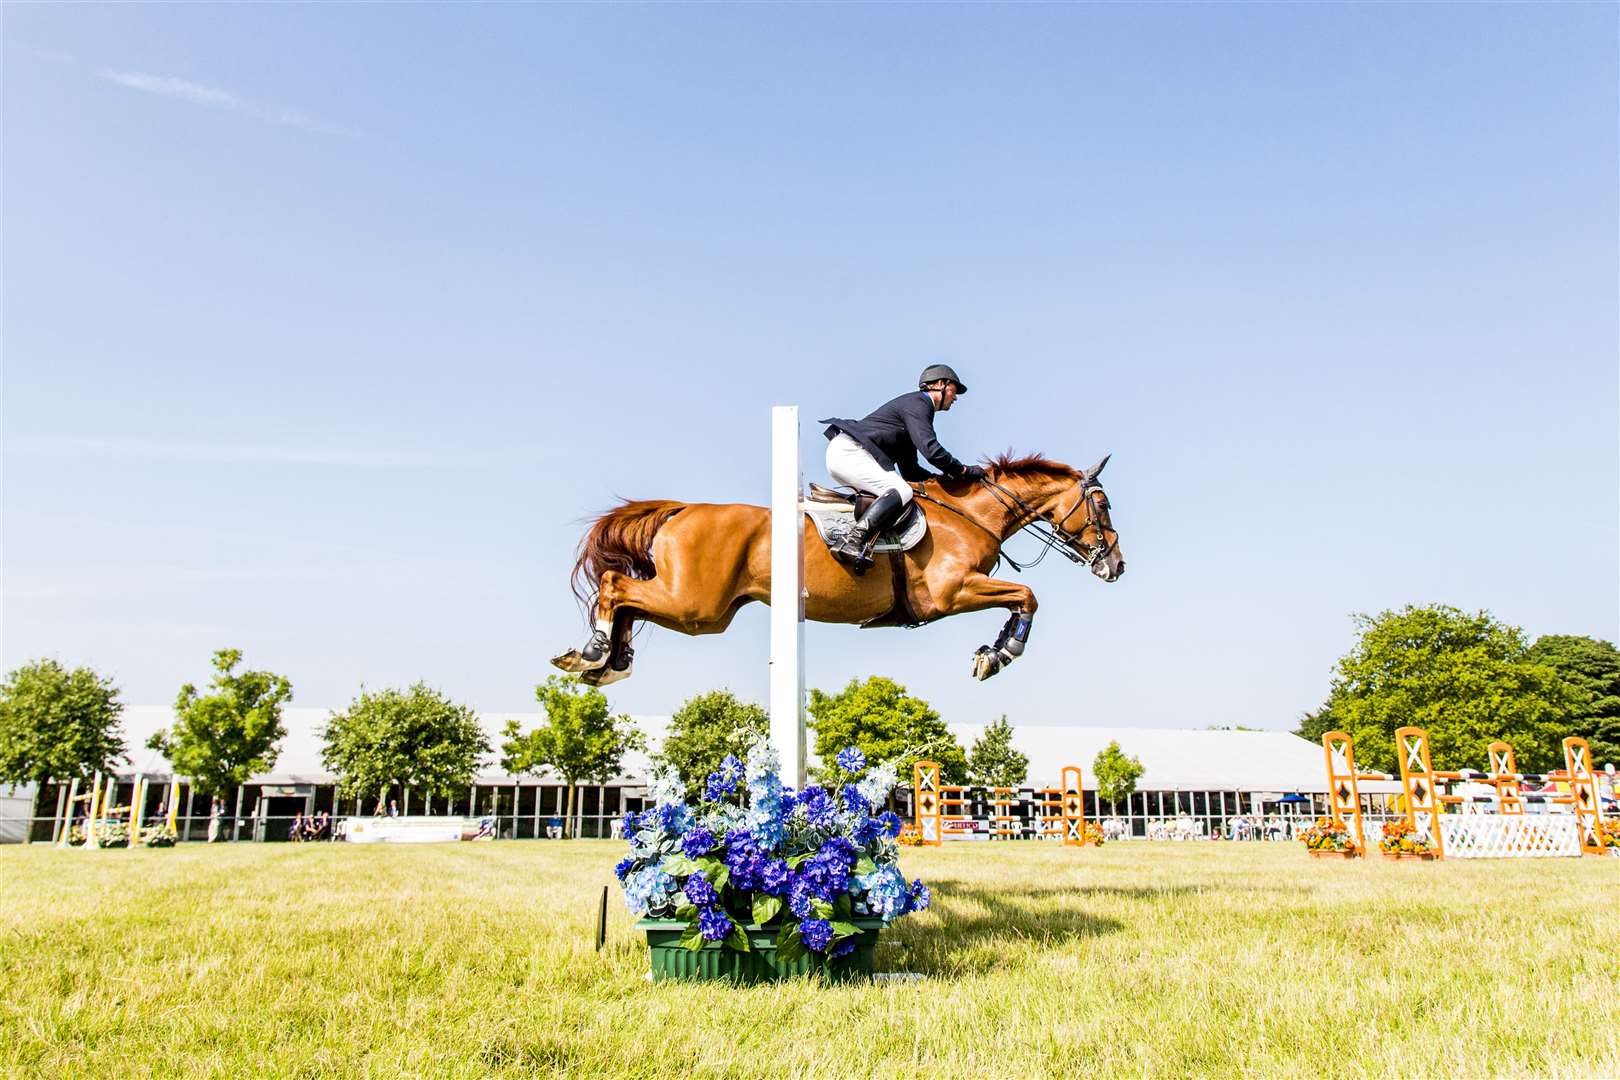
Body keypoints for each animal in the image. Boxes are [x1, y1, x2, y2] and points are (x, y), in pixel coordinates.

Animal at [550, 453, 1121, 683]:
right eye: (1103, 504)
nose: (1116, 565)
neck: (970, 513)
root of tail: (683, 509)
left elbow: (1023, 597)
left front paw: (991, 652)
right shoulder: (953, 592)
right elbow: (1027, 596)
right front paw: (998, 655)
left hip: (703, 608)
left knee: (626, 597)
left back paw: (605, 663)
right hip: (697, 605)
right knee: (615, 585)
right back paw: (595, 653)